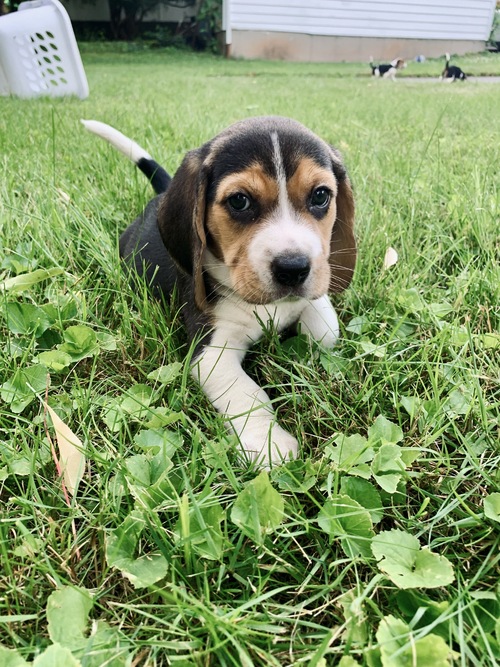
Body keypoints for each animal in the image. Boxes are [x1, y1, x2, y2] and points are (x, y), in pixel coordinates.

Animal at [82, 117, 356, 468]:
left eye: (321, 195)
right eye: (239, 201)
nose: (294, 268)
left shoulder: (313, 304)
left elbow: (325, 330)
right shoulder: (210, 352)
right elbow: (245, 392)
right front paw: (269, 444)